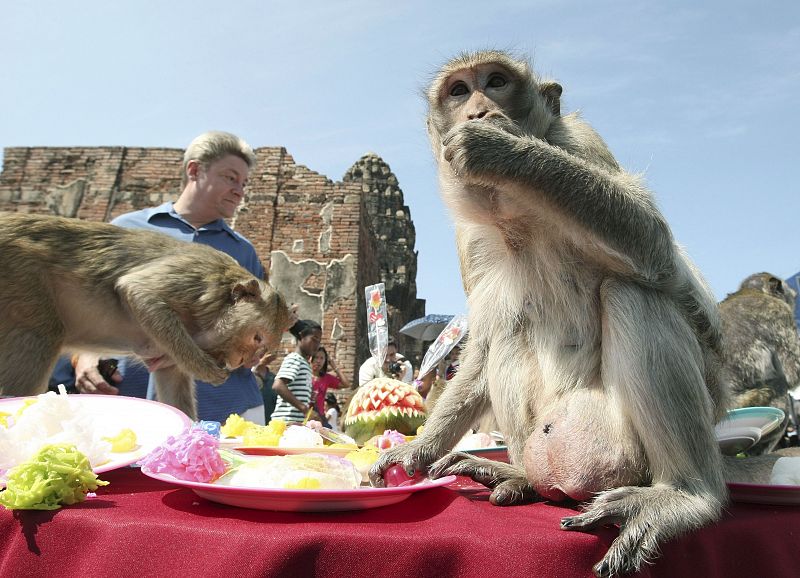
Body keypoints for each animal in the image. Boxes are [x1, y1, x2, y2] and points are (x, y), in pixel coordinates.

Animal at [0, 212, 292, 418]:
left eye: (264, 346)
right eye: (257, 338)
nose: (244, 361)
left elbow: (172, 379)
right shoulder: (197, 276)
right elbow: (139, 291)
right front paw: (208, 371)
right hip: (21, 277)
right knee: (40, 335)